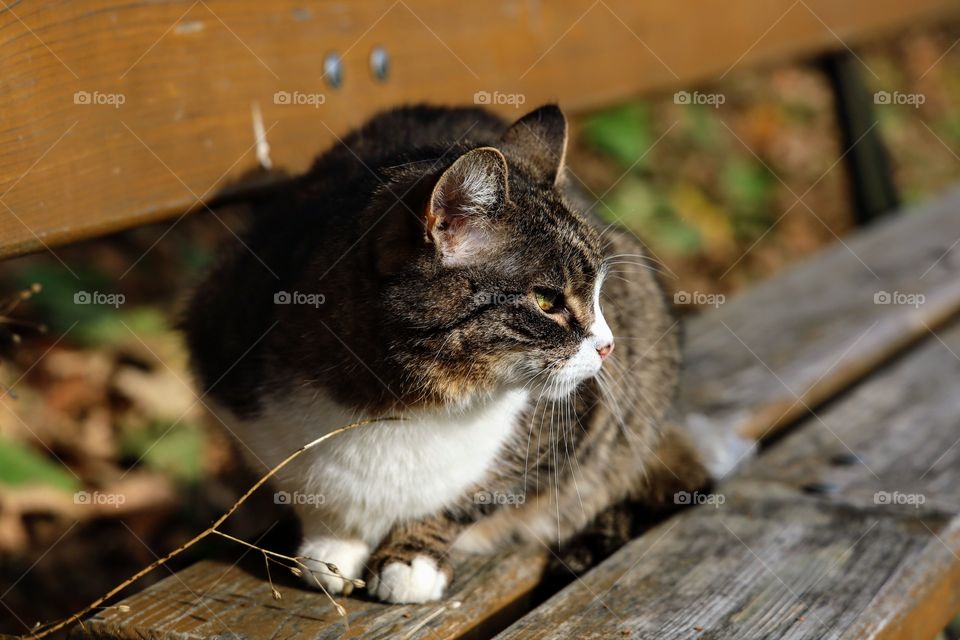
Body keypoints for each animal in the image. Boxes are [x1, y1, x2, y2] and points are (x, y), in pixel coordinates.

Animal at [186, 102, 712, 604]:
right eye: (547, 302)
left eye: (601, 292)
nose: (608, 346)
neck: (404, 405)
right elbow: (304, 489)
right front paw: (333, 544)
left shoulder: (580, 418)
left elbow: (476, 496)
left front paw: (412, 556)